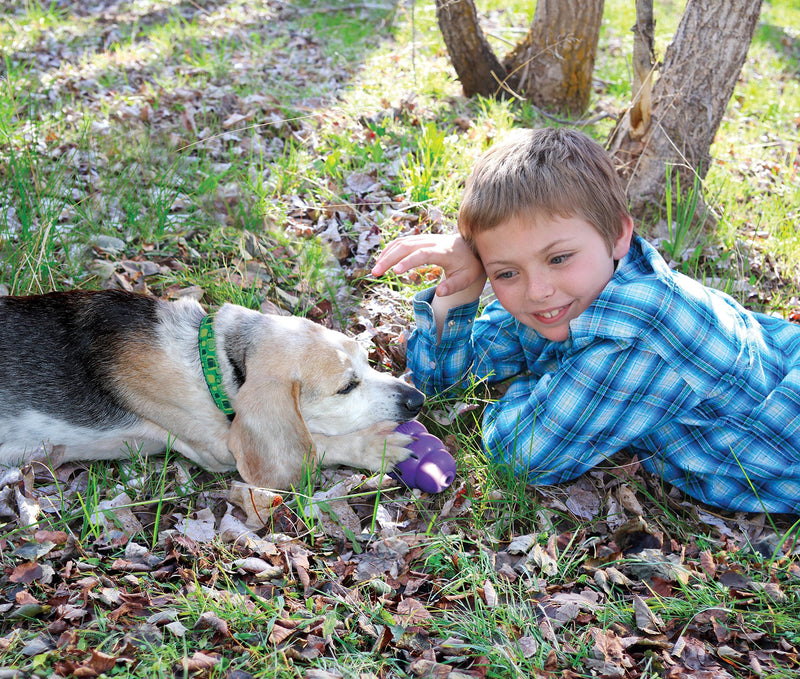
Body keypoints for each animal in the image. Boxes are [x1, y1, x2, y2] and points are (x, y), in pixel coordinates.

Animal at [0, 290, 424, 492]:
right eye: (347, 387)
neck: (210, 357)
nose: (417, 400)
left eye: (367, 360)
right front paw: (376, 446)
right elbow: (317, 443)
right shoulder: (218, 450)